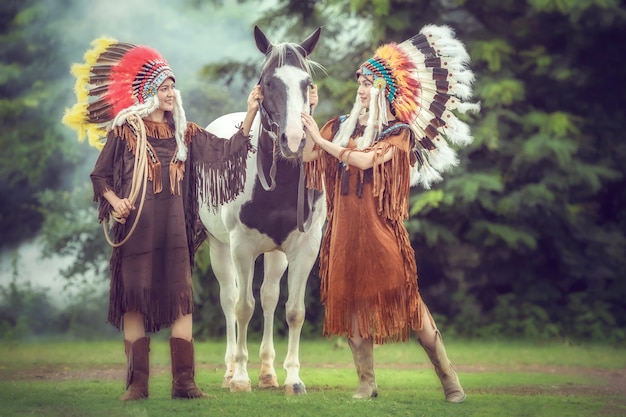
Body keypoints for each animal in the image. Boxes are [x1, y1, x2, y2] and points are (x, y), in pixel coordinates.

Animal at [197, 26, 324, 394]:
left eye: (307, 83)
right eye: (268, 82)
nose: (293, 141)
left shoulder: (304, 248)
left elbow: (293, 310)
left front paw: (293, 379)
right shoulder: (241, 247)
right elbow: (243, 308)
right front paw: (240, 378)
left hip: (276, 253)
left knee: (269, 297)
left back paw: (268, 373)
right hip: (220, 247)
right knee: (230, 298)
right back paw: (230, 372)